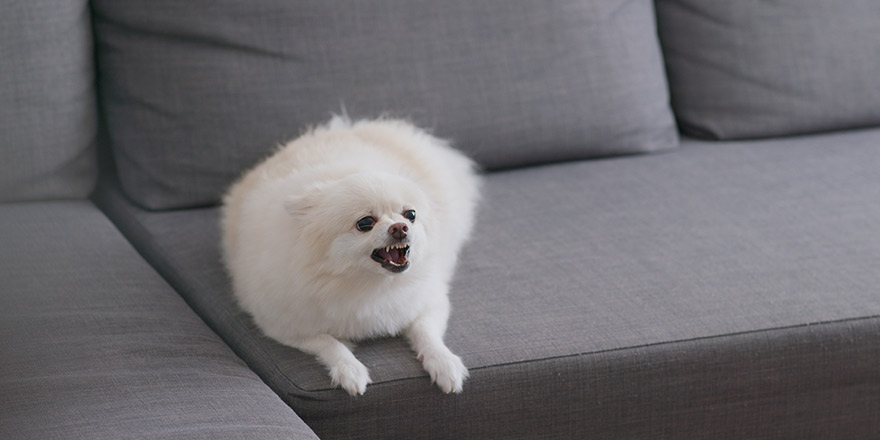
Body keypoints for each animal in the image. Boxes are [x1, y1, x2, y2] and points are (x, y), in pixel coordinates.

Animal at [220, 116, 482, 396]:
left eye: (410, 214)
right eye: (365, 223)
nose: (400, 227)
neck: (369, 283)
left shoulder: (428, 301)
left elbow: (427, 332)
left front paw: (444, 363)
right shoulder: (285, 326)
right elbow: (329, 342)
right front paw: (349, 369)